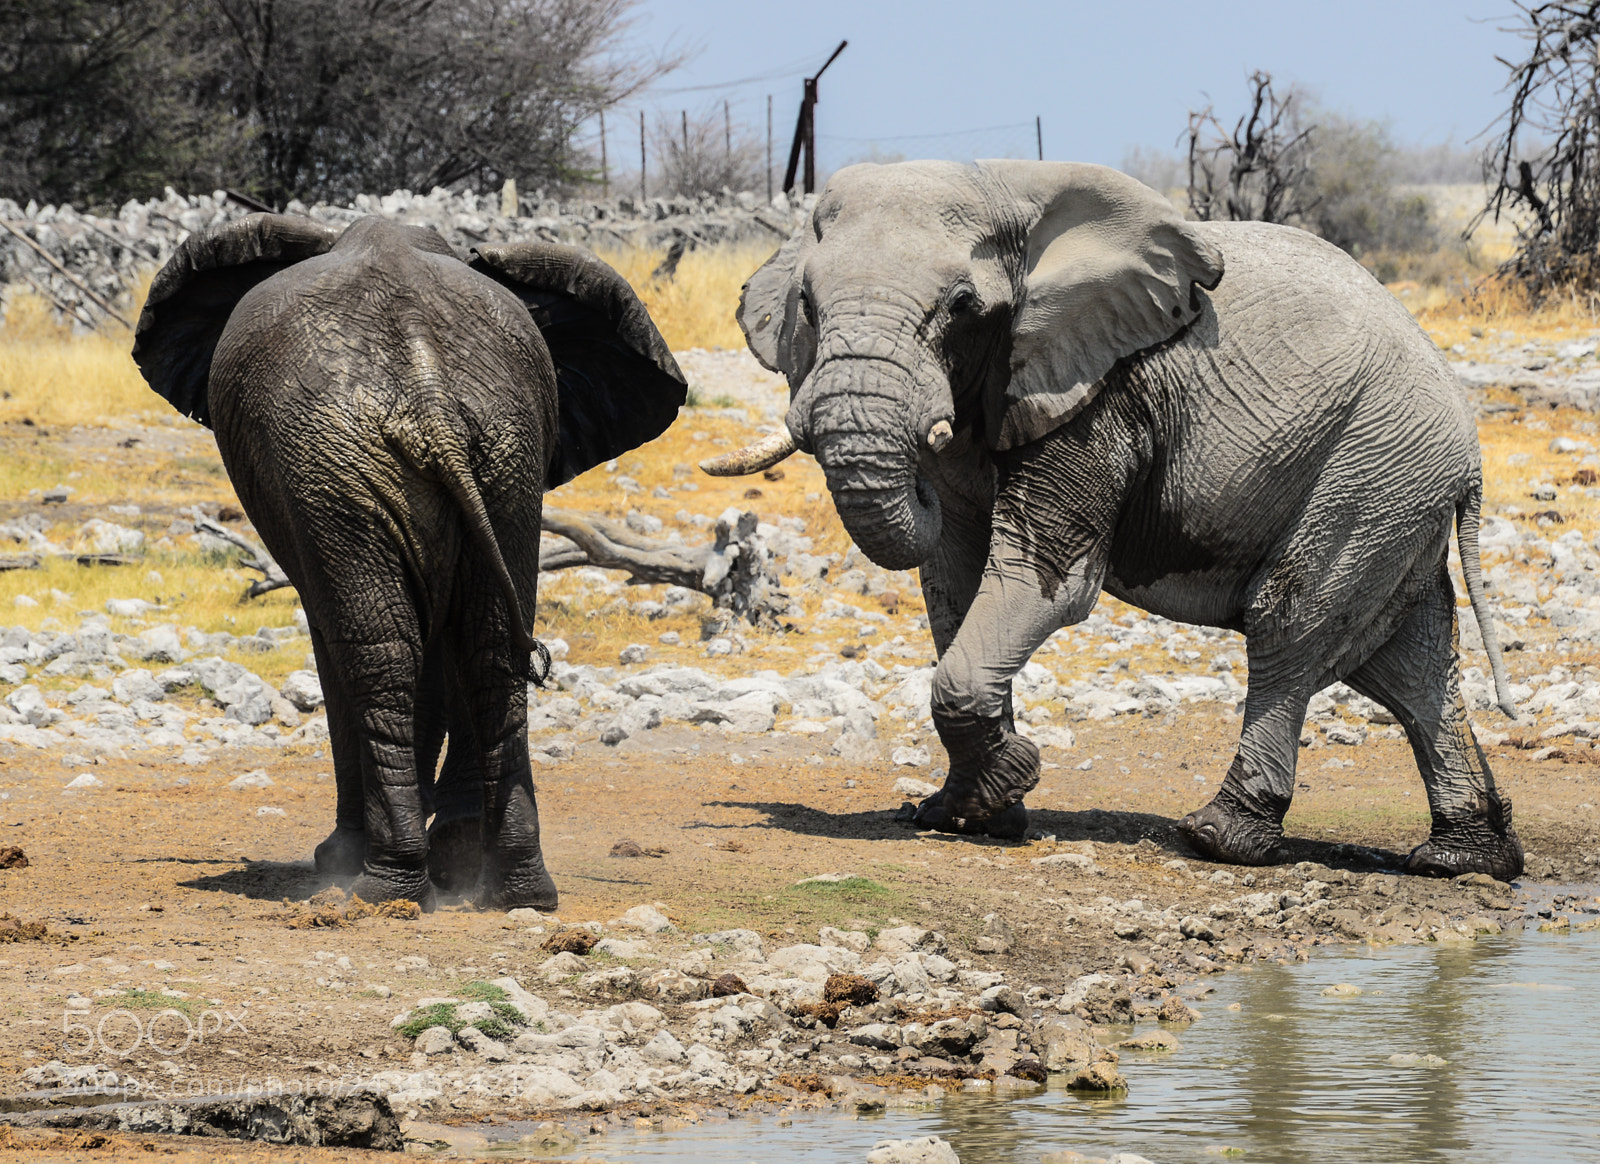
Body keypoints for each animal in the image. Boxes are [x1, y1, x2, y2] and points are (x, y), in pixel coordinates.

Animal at [132, 213, 686, 910]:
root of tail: (430, 390)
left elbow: (339, 641)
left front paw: (343, 856)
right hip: (500, 452)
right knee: (490, 651)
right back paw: (514, 888)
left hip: (331, 469)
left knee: (380, 651)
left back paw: (381, 883)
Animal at [705, 160, 1523, 880]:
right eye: (808, 307)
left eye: (963, 307)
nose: (919, 474)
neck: (1001, 186)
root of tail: (1471, 453)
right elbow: (956, 585)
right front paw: (968, 814)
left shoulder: (1098, 391)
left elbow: (1041, 583)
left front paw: (1011, 779)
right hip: (1394, 488)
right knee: (1404, 665)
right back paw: (1464, 860)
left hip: (1370, 468)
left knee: (1291, 623)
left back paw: (1216, 838)